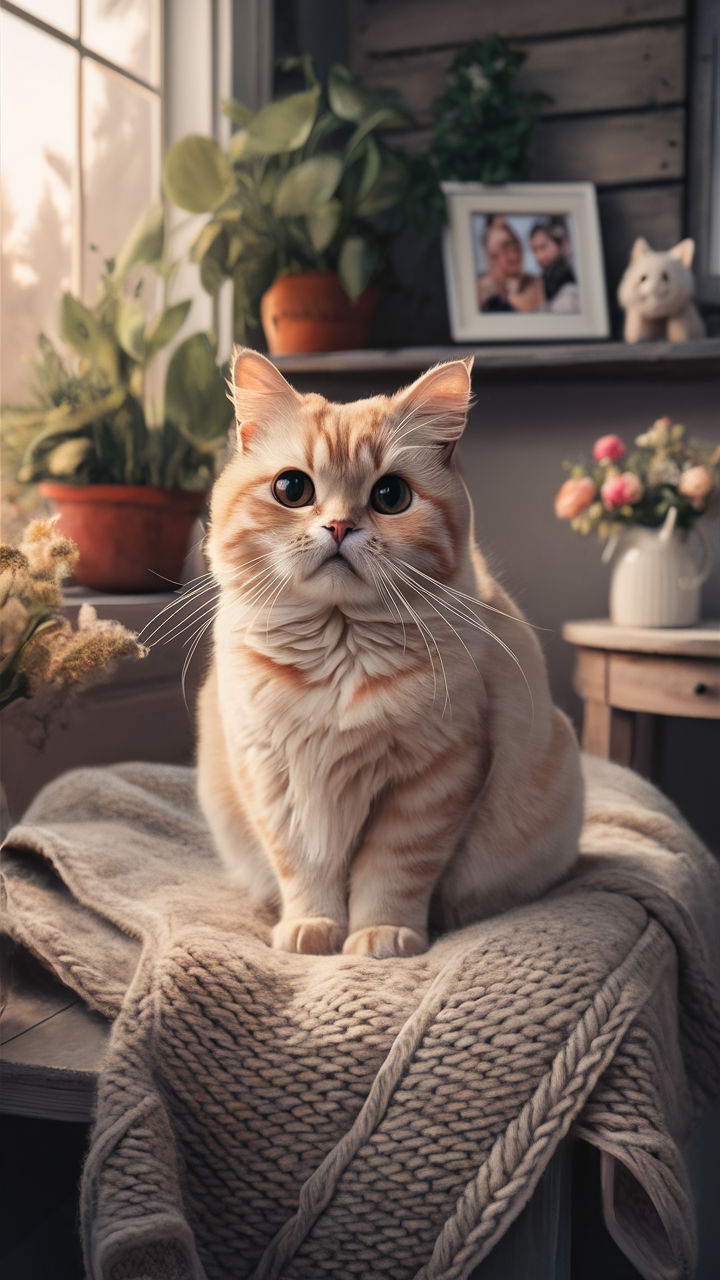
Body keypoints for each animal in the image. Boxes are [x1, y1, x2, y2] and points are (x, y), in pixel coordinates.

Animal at [196, 345, 584, 957]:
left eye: (390, 496)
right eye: (292, 489)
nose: (338, 526)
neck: (335, 655)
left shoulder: (434, 778)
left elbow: (391, 872)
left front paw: (381, 935)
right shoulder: (273, 780)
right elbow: (303, 868)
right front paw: (313, 928)